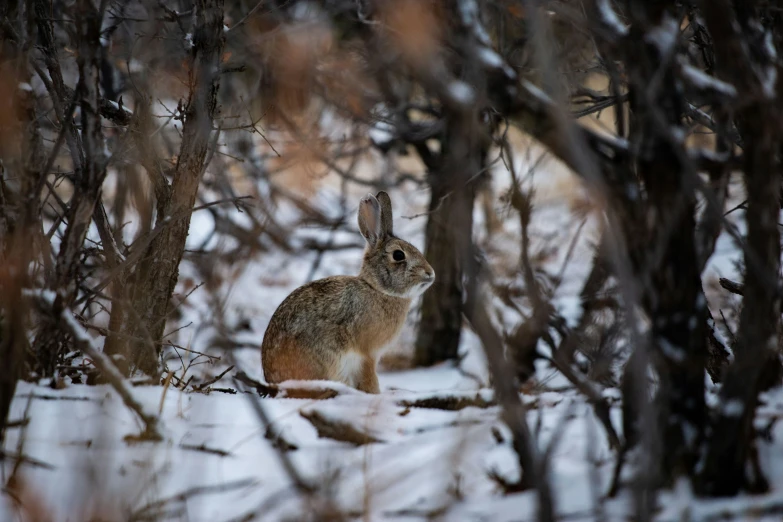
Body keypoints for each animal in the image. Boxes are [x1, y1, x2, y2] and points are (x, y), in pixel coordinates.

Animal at [262, 190, 434, 390]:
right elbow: (369, 378)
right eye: (398, 255)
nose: (430, 273)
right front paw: (374, 393)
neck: (378, 289)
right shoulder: (367, 354)